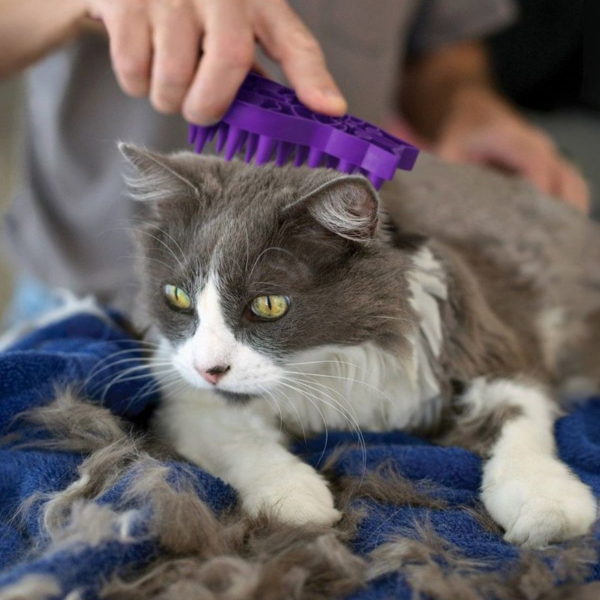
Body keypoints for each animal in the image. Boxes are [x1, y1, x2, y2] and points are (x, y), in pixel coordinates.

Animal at [120, 143, 600, 548]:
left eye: (269, 305)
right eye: (177, 297)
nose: (209, 370)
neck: (328, 361)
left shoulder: (492, 346)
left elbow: (520, 421)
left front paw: (547, 505)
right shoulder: (184, 395)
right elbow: (237, 439)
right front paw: (295, 500)